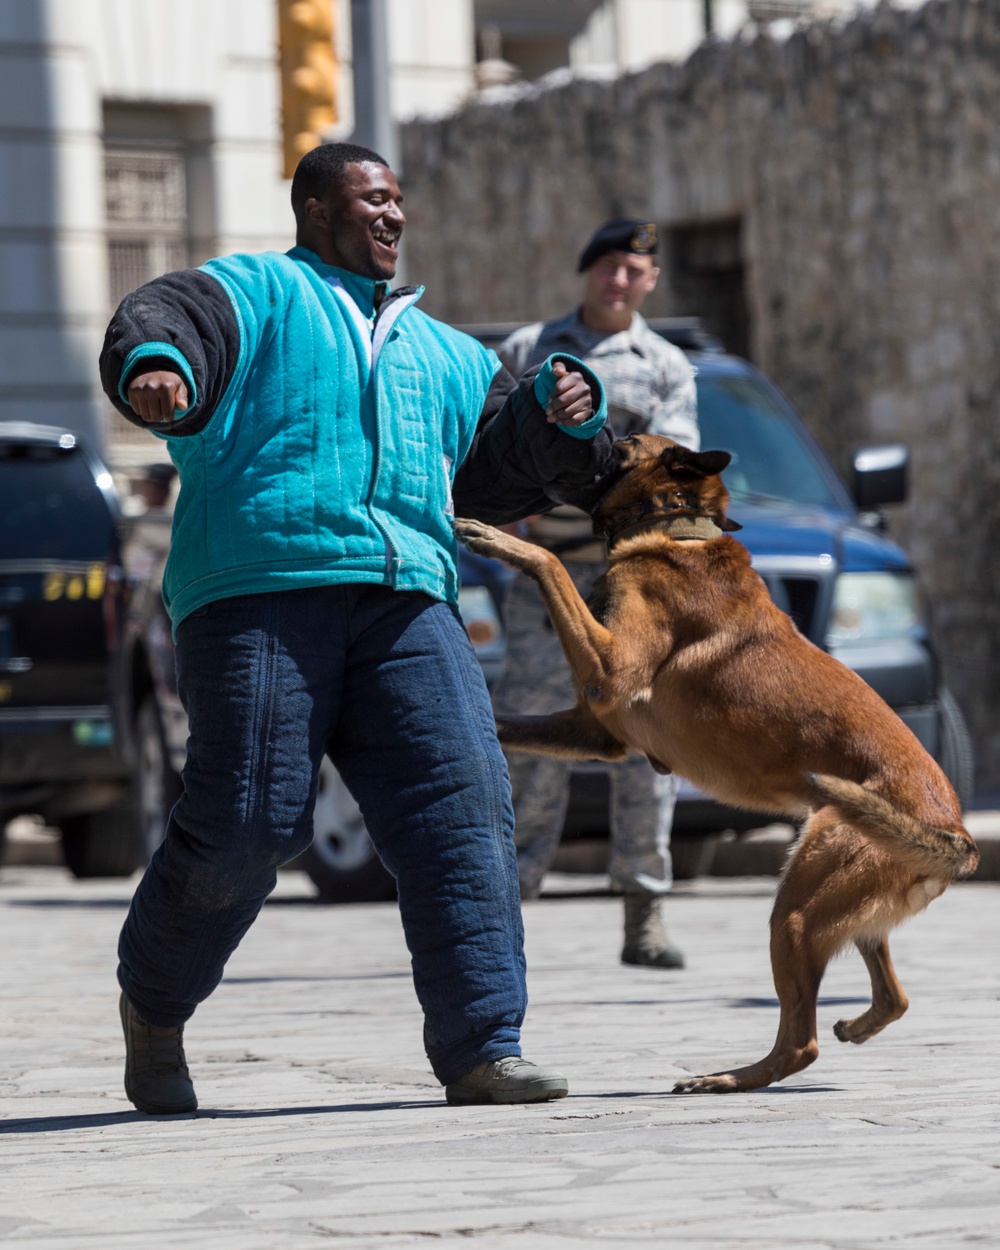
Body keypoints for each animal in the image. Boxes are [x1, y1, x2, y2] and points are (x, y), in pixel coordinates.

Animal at [457, 437, 980, 1095]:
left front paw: (500, 541)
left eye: (622, 440)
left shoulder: (611, 669)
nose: (585, 432)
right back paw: (848, 1030)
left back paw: (727, 1078)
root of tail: (956, 830)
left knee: (801, 1043)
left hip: (796, 911)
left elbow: (550, 563)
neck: (677, 527)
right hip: (843, 911)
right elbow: (505, 721)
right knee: (893, 999)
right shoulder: (595, 730)